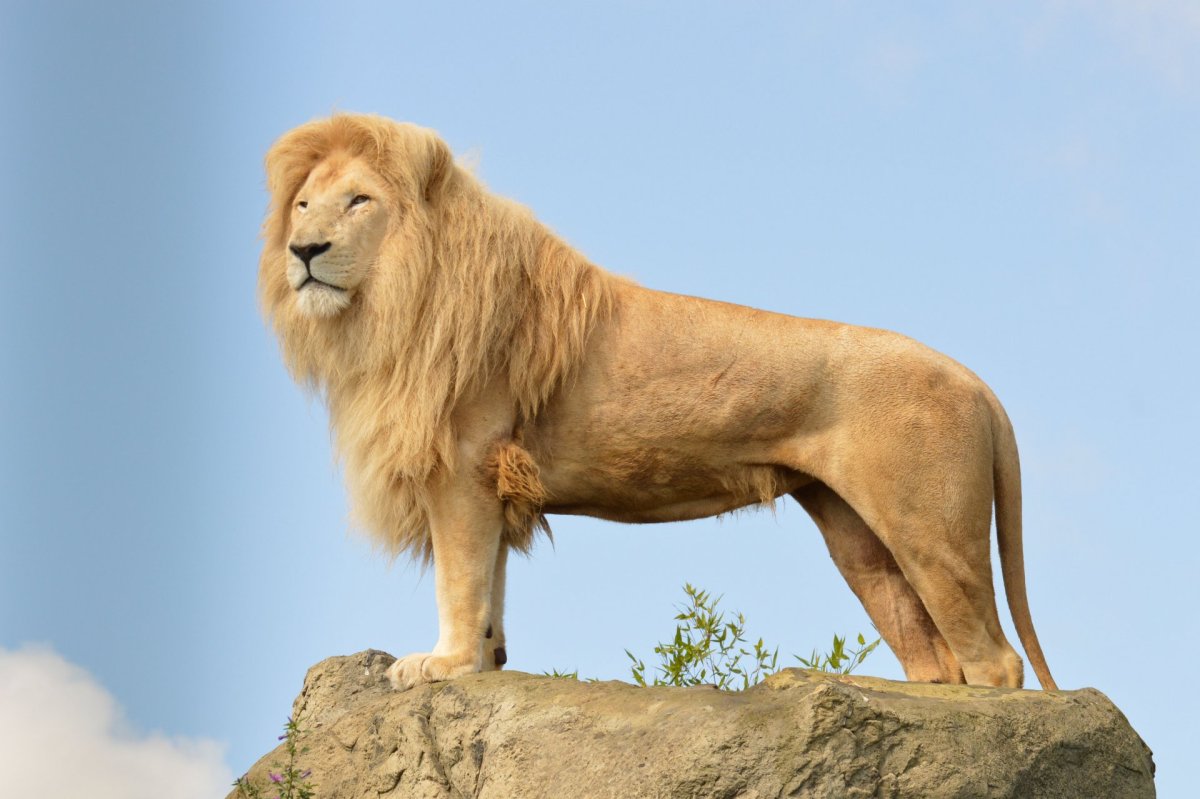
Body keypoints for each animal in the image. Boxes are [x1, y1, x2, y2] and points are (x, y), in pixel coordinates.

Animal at [259, 113, 1057, 692]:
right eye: (302, 205)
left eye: (359, 201)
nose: (304, 250)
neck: (388, 306)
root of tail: (976, 381)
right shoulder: (493, 478)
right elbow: (490, 583)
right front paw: (485, 660)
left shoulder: (462, 465)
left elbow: (461, 578)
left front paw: (442, 664)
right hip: (859, 536)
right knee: (935, 657)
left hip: (929, 528)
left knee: (994, 661)